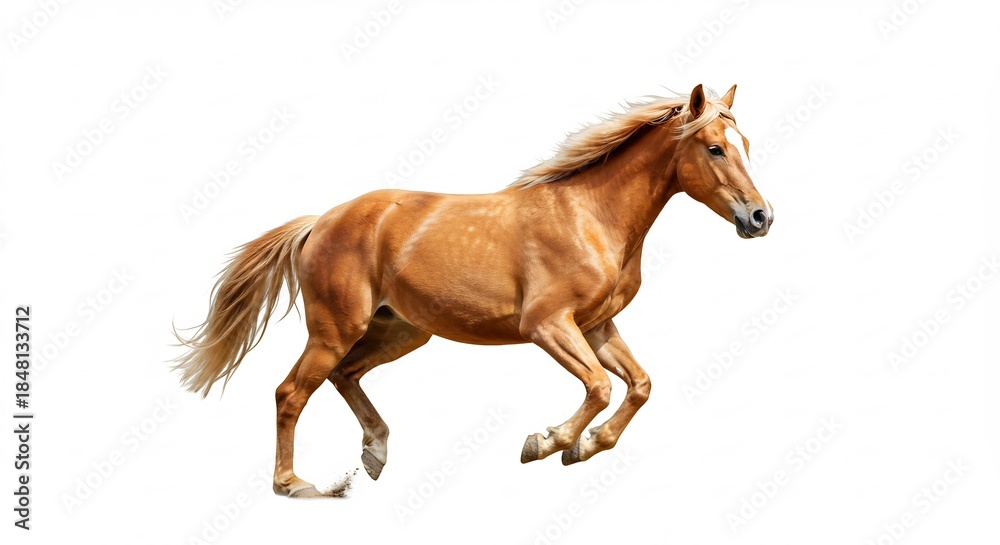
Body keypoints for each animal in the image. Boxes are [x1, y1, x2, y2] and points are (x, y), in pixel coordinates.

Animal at [173, 83, 773, 497]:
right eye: (715, 148)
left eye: (746, 143)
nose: (761, 218)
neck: (591, 216)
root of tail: (320, 221)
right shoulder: (547, 325)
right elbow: (601, 387)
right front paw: (544, 443)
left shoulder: (598, 326)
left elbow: (640, 385)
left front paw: (582, 448)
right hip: (335, 328)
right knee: (291, 392)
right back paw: (294, 484)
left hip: (402, 332)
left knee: (345, 376)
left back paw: (375, 455)